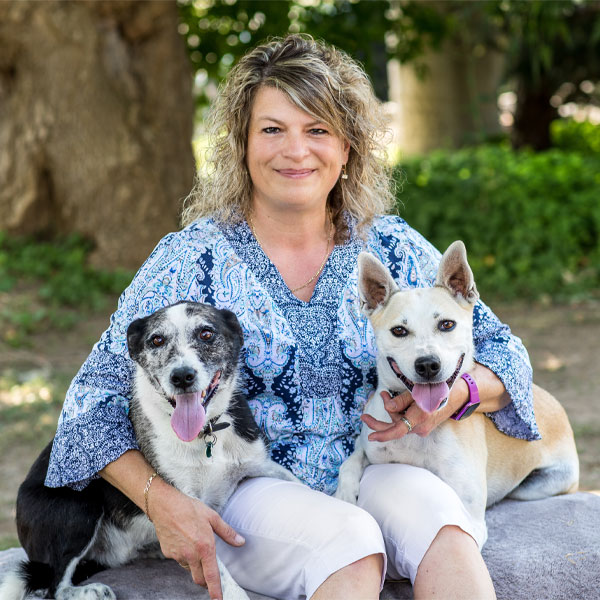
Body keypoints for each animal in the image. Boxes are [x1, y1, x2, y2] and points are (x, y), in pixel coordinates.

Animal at [4, 304, 296, 600]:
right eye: (156, 340)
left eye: (206, 333)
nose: (181, 377)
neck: (204, 434)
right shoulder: (189, 510)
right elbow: (216, 562)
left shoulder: (260, 464)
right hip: (80, 507)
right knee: (54, 586)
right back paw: (91, 590)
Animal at [336, 241, 580, 548]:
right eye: (399, 330)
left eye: (447, 325)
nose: (428, 364)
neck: (414, 427)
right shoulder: (371, 444)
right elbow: (351, 459)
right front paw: (344, 494)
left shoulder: (472, 520)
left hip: (541, 485)